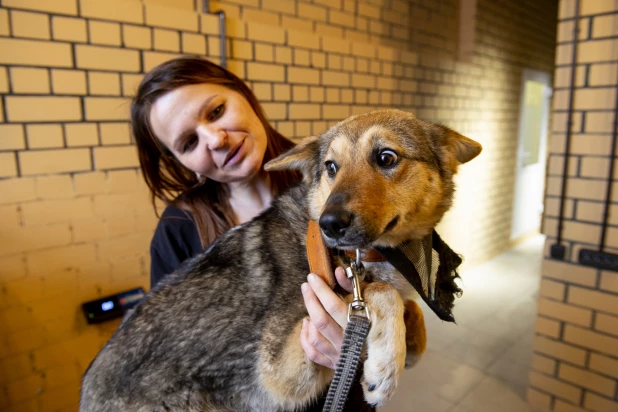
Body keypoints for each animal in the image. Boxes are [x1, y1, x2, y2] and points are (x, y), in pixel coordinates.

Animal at [78, 109, 482, 412]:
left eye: (386, 157)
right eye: (331, 167)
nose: (330, 224)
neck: (360, 258)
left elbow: (409, 307)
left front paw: (406, 345)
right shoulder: (281, 373)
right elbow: (385, 293)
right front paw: (385, 366)